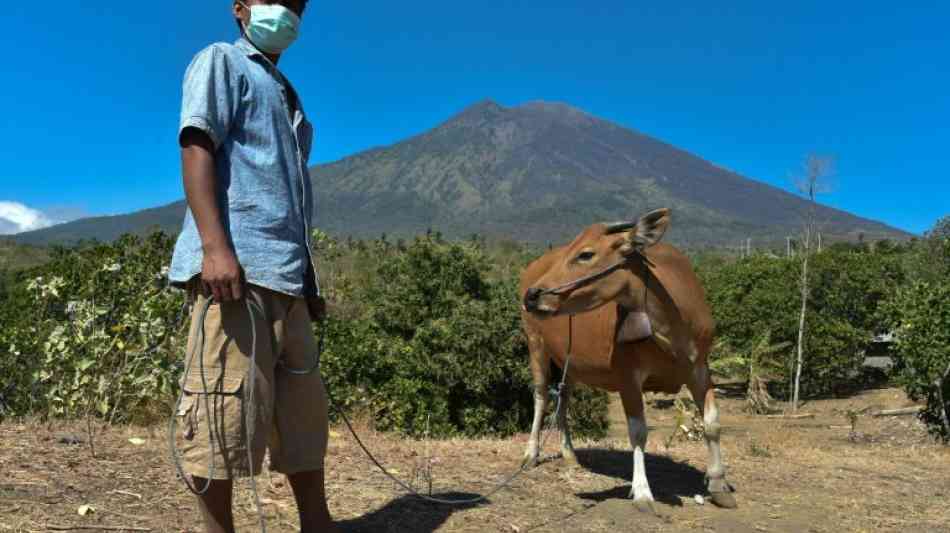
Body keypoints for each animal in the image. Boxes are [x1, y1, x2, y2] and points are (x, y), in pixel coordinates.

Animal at [520, 208, 736, 512]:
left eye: (585, 254)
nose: (533, 295)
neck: (671, 329)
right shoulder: (628, 377)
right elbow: (638, 432)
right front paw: (642, 491)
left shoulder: (700, 369)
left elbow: (712, 423)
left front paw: (718, 484)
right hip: (535, 345)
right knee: (540, 396)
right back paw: (531, 453)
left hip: (569, 363)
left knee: (563, 399)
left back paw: (570, 454)